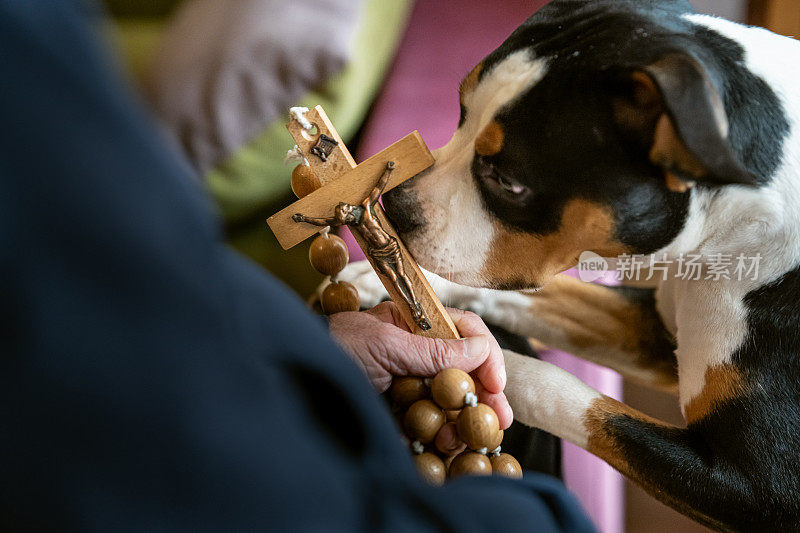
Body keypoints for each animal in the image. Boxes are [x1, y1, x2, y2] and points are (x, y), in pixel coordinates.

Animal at [340, 1, 800, 528]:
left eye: (508, 181)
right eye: (460, 115)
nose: (390, 208)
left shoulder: (759, 489)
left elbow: (575, 399)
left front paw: (484, 370)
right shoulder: (656, 331)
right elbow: (543, 297)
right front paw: (382, 283)